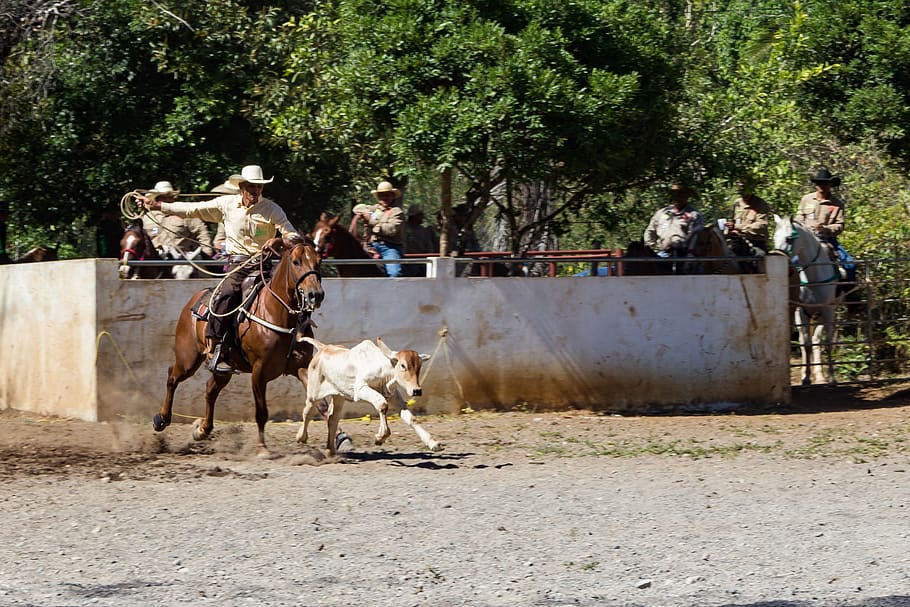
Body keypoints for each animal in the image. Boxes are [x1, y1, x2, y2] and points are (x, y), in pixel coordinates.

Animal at [153, 239, 328, 456]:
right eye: (296, 262)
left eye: (318, 261)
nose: (315, 295)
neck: (276, 313)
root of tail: (194, 300)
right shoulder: (259, 371)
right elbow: (261, 411)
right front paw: (262, 448)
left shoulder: (301, 366)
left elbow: (322, 405)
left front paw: (340, 441)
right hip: (188, 359)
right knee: (172, 377)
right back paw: (161, 419)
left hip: (223, 369)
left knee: (210, 390)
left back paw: (202, 430)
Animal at [298, 340, 444, 454]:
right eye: (403, 365)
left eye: (419, 366)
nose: (417, 390)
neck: (382, 370)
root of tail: (323, 348)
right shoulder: (361, 389)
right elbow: (382, 405)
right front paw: (380, 437)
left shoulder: (393, 396)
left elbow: (410, 418)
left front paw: (433, 443)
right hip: (313, 394)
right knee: (307, 413)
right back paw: (301, 437)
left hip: (338, 396)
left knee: (333, 418)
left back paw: (331, 451)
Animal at [776, 214, 840, 384]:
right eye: (774, 237)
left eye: (789, 238)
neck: (814, 277)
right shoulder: (801, 312)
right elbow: (806, 344)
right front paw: (805, 377)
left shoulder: (828, 310)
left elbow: (827, 342)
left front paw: (832, 377)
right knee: (806, 340)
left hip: (820, 315)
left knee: (817, 339)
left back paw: (821, 375)